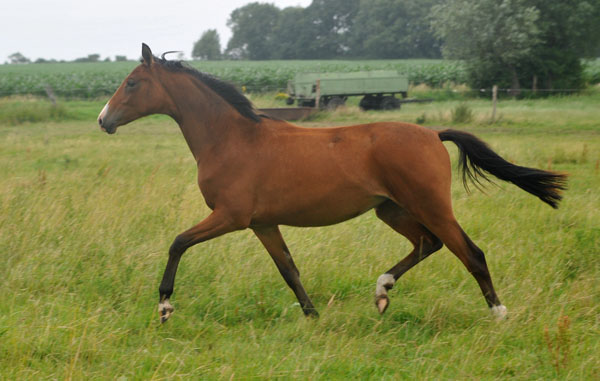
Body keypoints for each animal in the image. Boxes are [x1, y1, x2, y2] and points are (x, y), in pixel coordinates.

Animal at [97, 44, 568, 324]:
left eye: (133, 83)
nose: (103, 120)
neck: (232, 139)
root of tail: (434, 134)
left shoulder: (231, 216)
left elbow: (178, 242)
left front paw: (164, 305)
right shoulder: (262, 223)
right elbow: (288, 269)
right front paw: (311, 316)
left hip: (430, 205)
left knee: (470, 252)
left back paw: (499, 313)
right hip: (391, 208)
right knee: (427, 244)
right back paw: (382, 290)